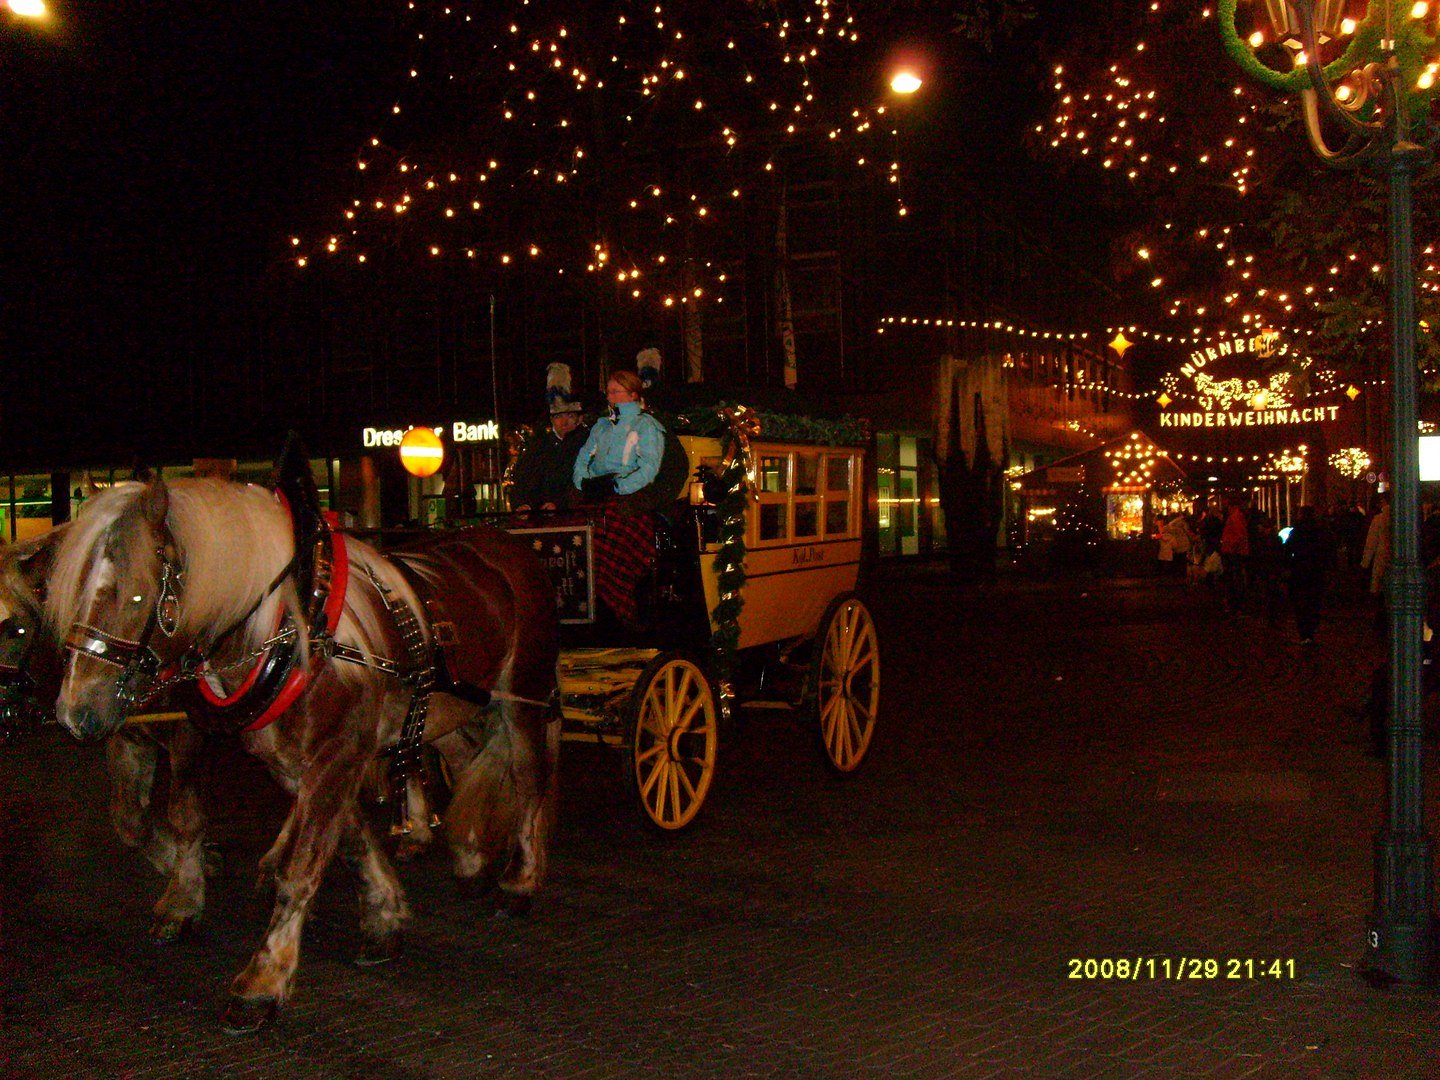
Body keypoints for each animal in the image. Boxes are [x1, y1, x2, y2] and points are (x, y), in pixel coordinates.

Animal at [39, 480, 555, 1031]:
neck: (295, 632)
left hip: (523, 695)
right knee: (465, 758)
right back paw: (470, 855)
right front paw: (384, 917)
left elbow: (299, 868)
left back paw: (518, 882)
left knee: (529, 779)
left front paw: (261, 982)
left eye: (135, 594)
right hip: (446, 710)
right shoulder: (294, 762)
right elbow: (349, 841)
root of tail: (508, 546)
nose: (74, 711)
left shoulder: (335, 755)